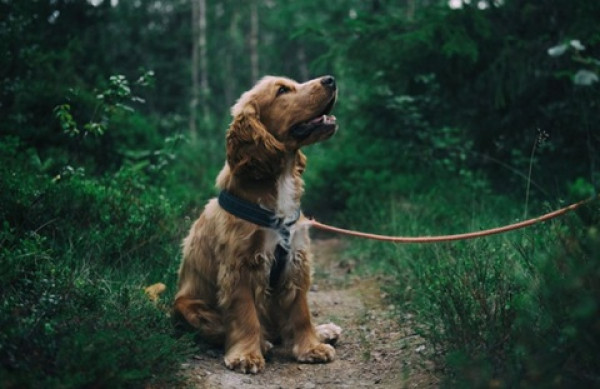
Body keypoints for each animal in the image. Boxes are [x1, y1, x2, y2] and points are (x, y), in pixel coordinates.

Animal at [173, 74, 342, 372]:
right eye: (282, 90)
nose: (330, 79)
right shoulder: (240, 266)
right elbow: (245, 315)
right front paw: (246, 355)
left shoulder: (296, 260)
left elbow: (301, 312)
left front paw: (311, 347)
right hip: (189, 307)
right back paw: (263, 343)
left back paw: (323, 331)